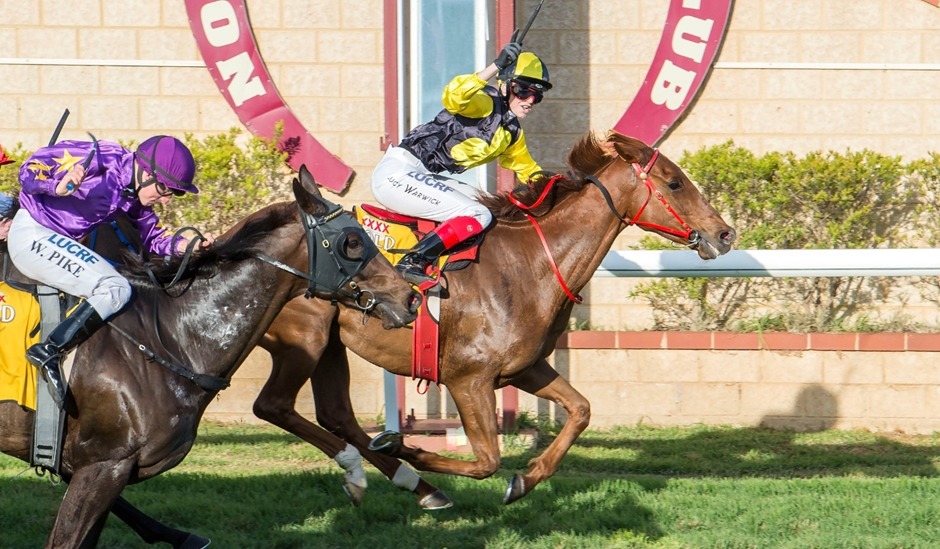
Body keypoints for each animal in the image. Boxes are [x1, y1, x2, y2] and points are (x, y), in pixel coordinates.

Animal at [251, 131, 737, 504]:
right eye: (675, 182)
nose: (725, 234)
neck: (532, 261)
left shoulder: (524, 368)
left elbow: (580, 410)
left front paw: (526, 479)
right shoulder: (468, 379)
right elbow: (487, 461)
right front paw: (417, 452)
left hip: (330, 345)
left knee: (336, 414)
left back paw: (412, 481)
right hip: (305, 339)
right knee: (273, 405)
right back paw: (397, 468)